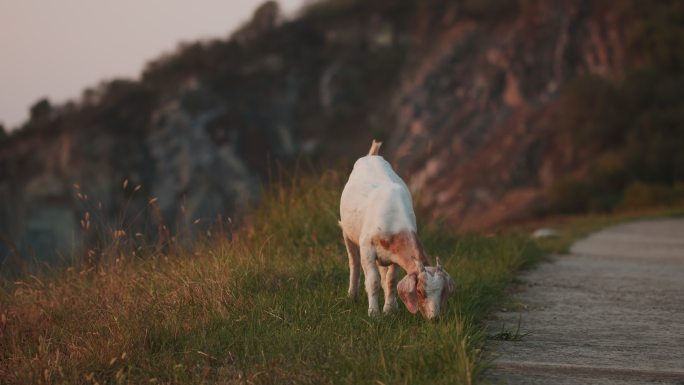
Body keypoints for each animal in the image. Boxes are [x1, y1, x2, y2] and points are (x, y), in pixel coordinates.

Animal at [338, 140, 454, 316]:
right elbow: (373, 281)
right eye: (420, 291)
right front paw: (374, 314)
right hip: (347, 233)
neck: (394, 220)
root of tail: (372, 156)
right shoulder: (367, 248)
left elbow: (391, 280)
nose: (434, 318)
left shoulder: (395, 255)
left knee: (383, 273)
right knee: (354, 262)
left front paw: (389, 309)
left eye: (442, 292)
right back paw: (352, 295)